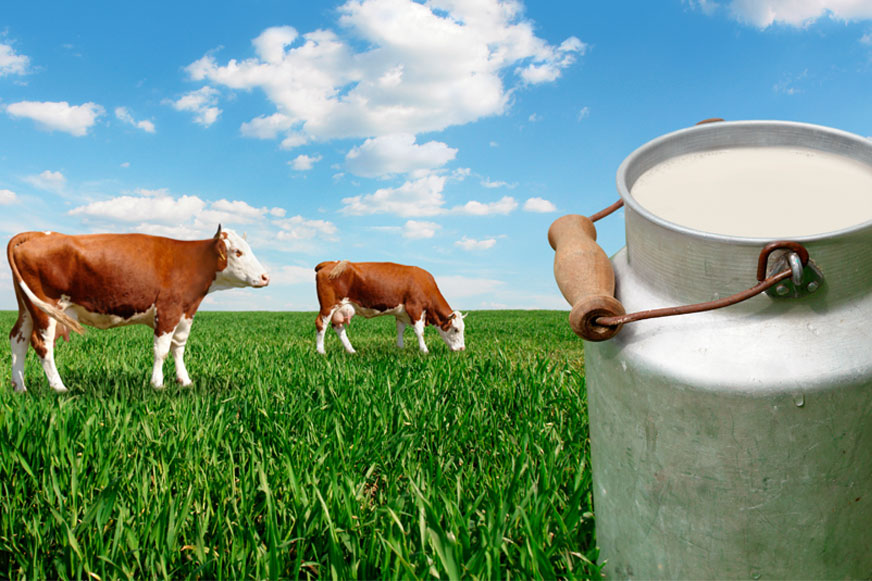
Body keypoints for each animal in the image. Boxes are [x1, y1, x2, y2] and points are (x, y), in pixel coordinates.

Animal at [7, 225, 269, 392]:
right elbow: (161, 350)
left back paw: (20, 387)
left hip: (28, 308)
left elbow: (179, 348)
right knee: (42, 345)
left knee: (18, 340)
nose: (266, 277)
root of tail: (39, 234)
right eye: (237, 252)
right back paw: (59, 387)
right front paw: (157, 384)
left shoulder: (185, 312)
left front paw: (184, 381)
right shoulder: (168, 310)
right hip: (47, 308)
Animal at [314, 260, 466, 354]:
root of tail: (330, 263)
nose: (462, 348)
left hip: (340, 308)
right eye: (456, 329)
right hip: (328, 306)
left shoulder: (401, 313)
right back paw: (321, 351)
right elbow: (419, 331)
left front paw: (400, 348)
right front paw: (424, 350)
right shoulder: (415, 308)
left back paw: (351, 350)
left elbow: (400, 329)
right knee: (321, 324)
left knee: (339, 328)